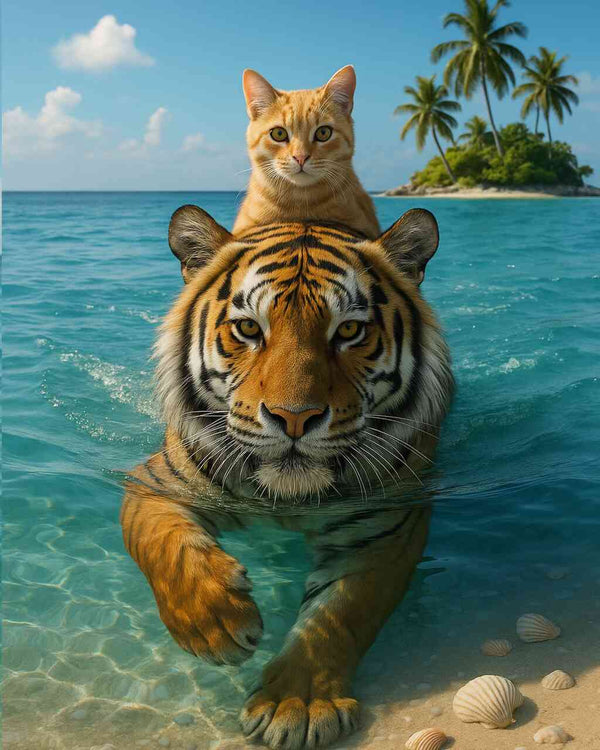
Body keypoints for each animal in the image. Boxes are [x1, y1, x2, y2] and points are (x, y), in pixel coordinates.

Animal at [120, 205, 453, 749]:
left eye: (349, 331)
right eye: (248, 329)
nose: (294, 418)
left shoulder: (385, 528)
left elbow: (339, 614)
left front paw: (295, 704)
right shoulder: (154, 481)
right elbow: (159, 543)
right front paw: (214, 624)